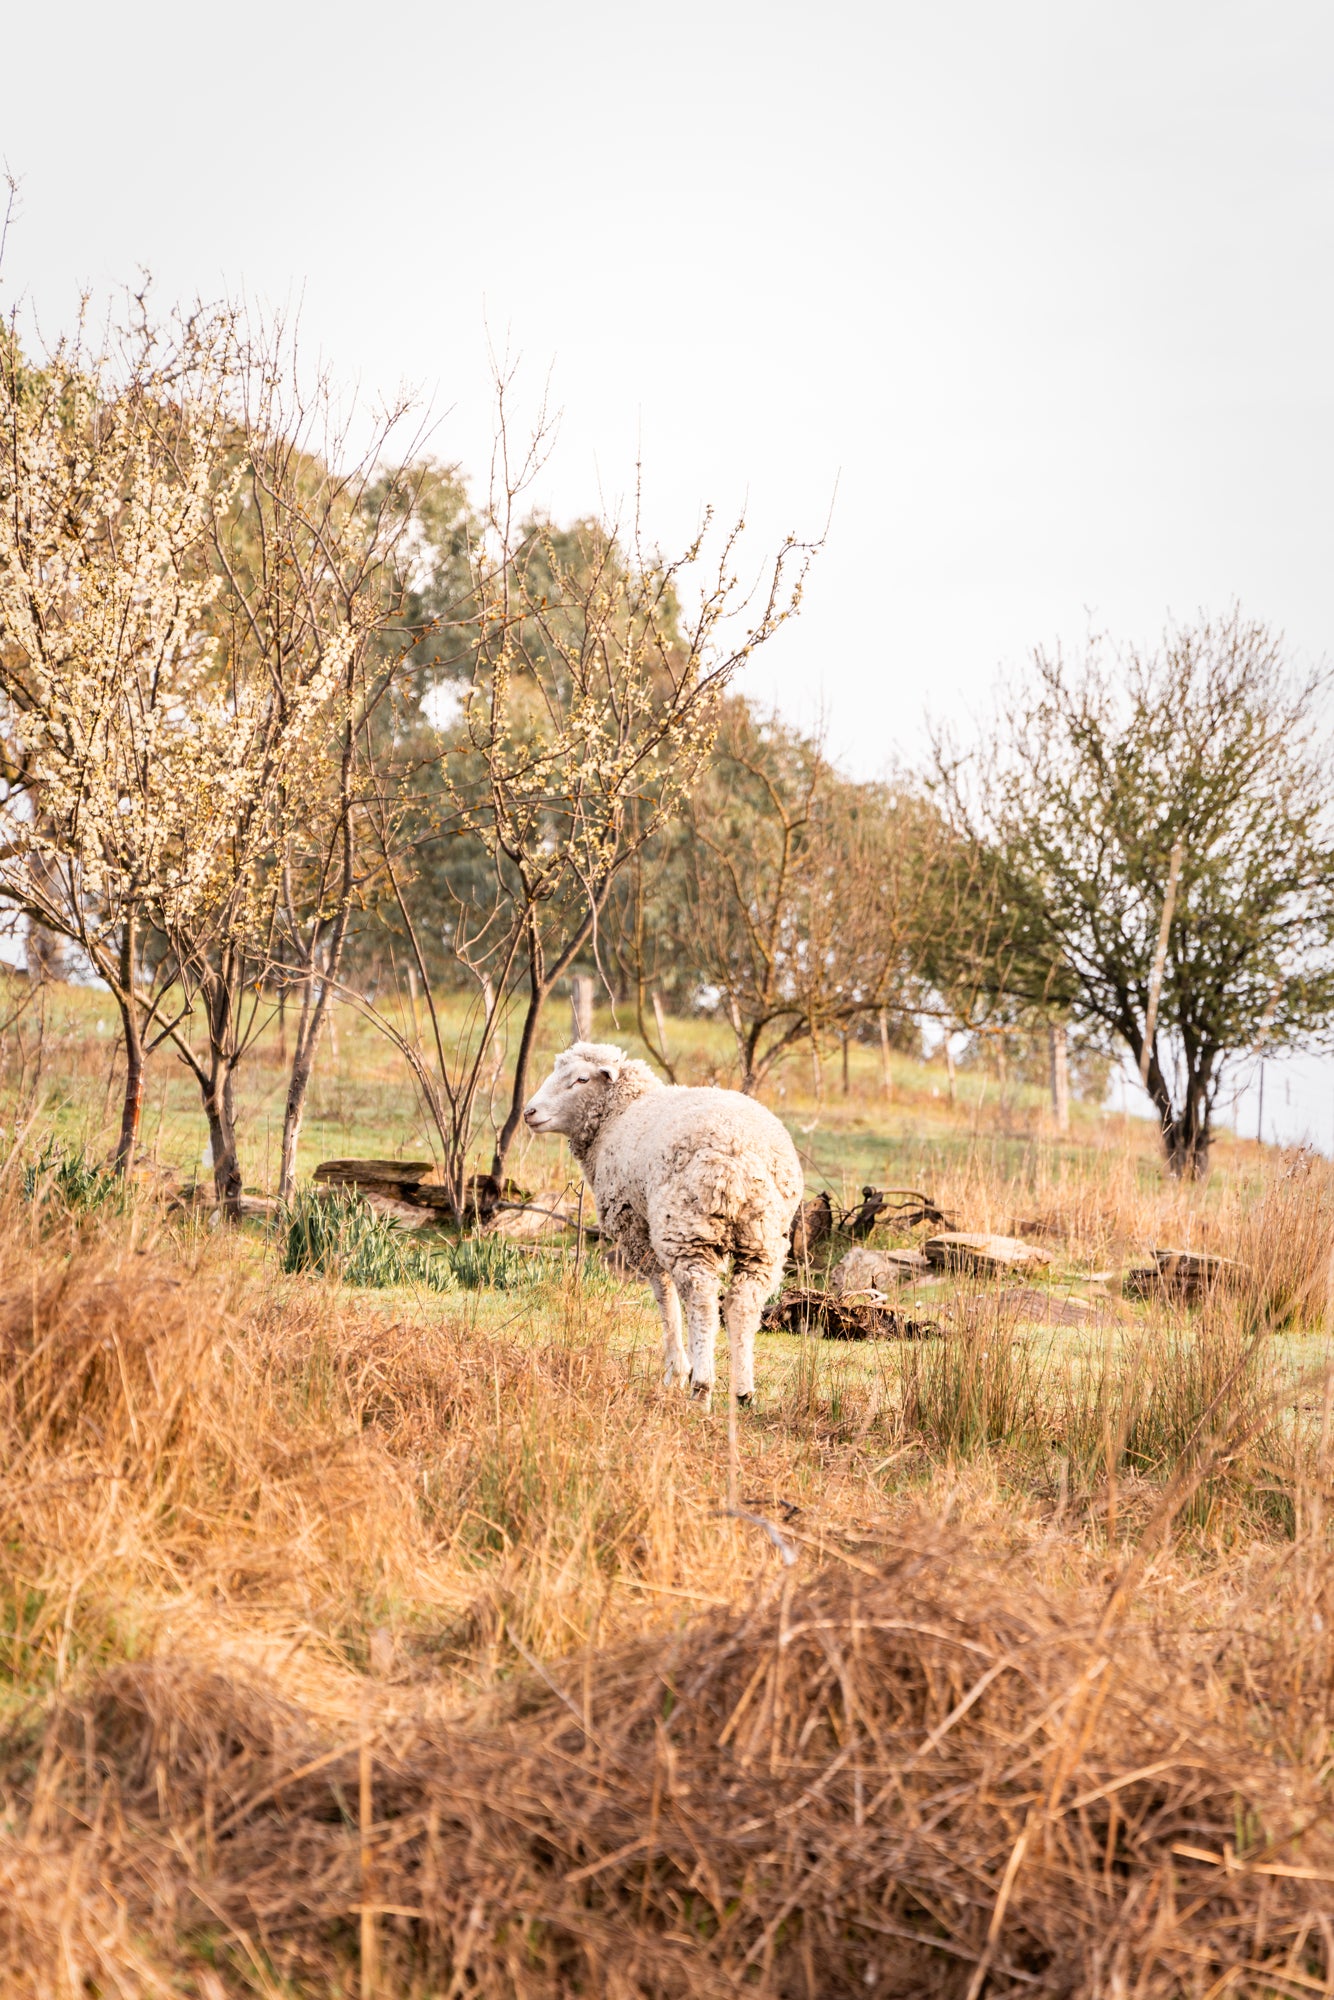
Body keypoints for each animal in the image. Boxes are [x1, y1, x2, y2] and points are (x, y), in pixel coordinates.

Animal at [528, 1048, 804, 1408]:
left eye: (581, 1079)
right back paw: (743, 1390)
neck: (618, 1116)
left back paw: (701, 1387)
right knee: (742, 1303)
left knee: (702, 1302)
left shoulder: (634, 1224)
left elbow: (663, 1293)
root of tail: (739, 1158)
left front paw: (677, 1371)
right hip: (763, 1236)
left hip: (689, 1227)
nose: (529, 1112)